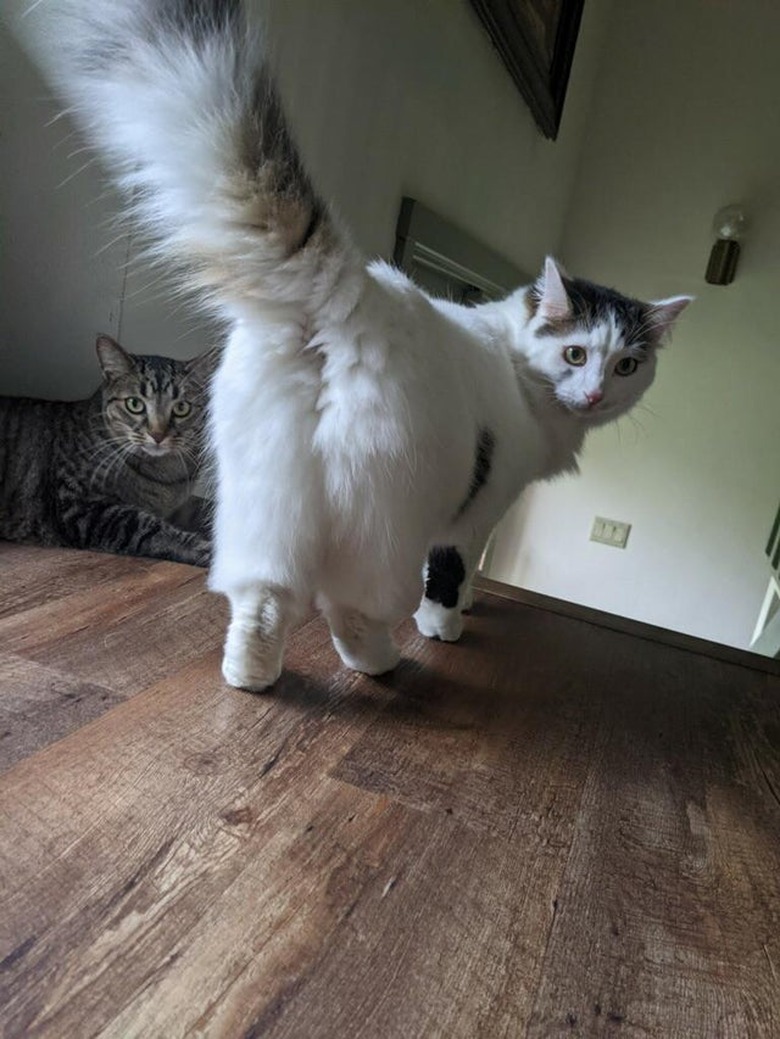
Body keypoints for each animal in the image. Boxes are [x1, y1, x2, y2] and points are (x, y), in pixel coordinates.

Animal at [0, 334, 213, 565]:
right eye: (134, 404)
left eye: (181, 408)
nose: (158, 435)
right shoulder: (80, 507)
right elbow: (150, 528)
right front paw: (206, 550)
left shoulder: (180, 506)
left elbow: (207, 507)